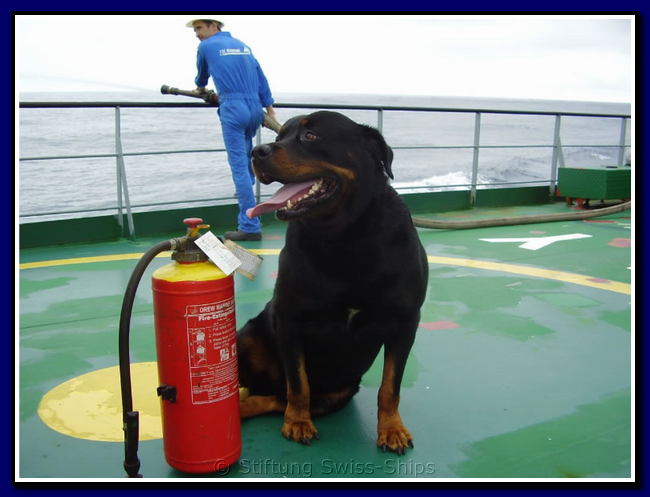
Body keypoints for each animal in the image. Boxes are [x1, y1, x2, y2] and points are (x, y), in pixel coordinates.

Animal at [237, 111, 428, 454]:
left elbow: (390, 385)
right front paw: (298, 423)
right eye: (280, 135)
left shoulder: (406, 320)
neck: (343, 237)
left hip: (340, 391)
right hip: (247, 337)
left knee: (275, 397)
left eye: (311, 136)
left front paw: (391, 429)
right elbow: (299, 381)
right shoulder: (289, 319)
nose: (257, 152)